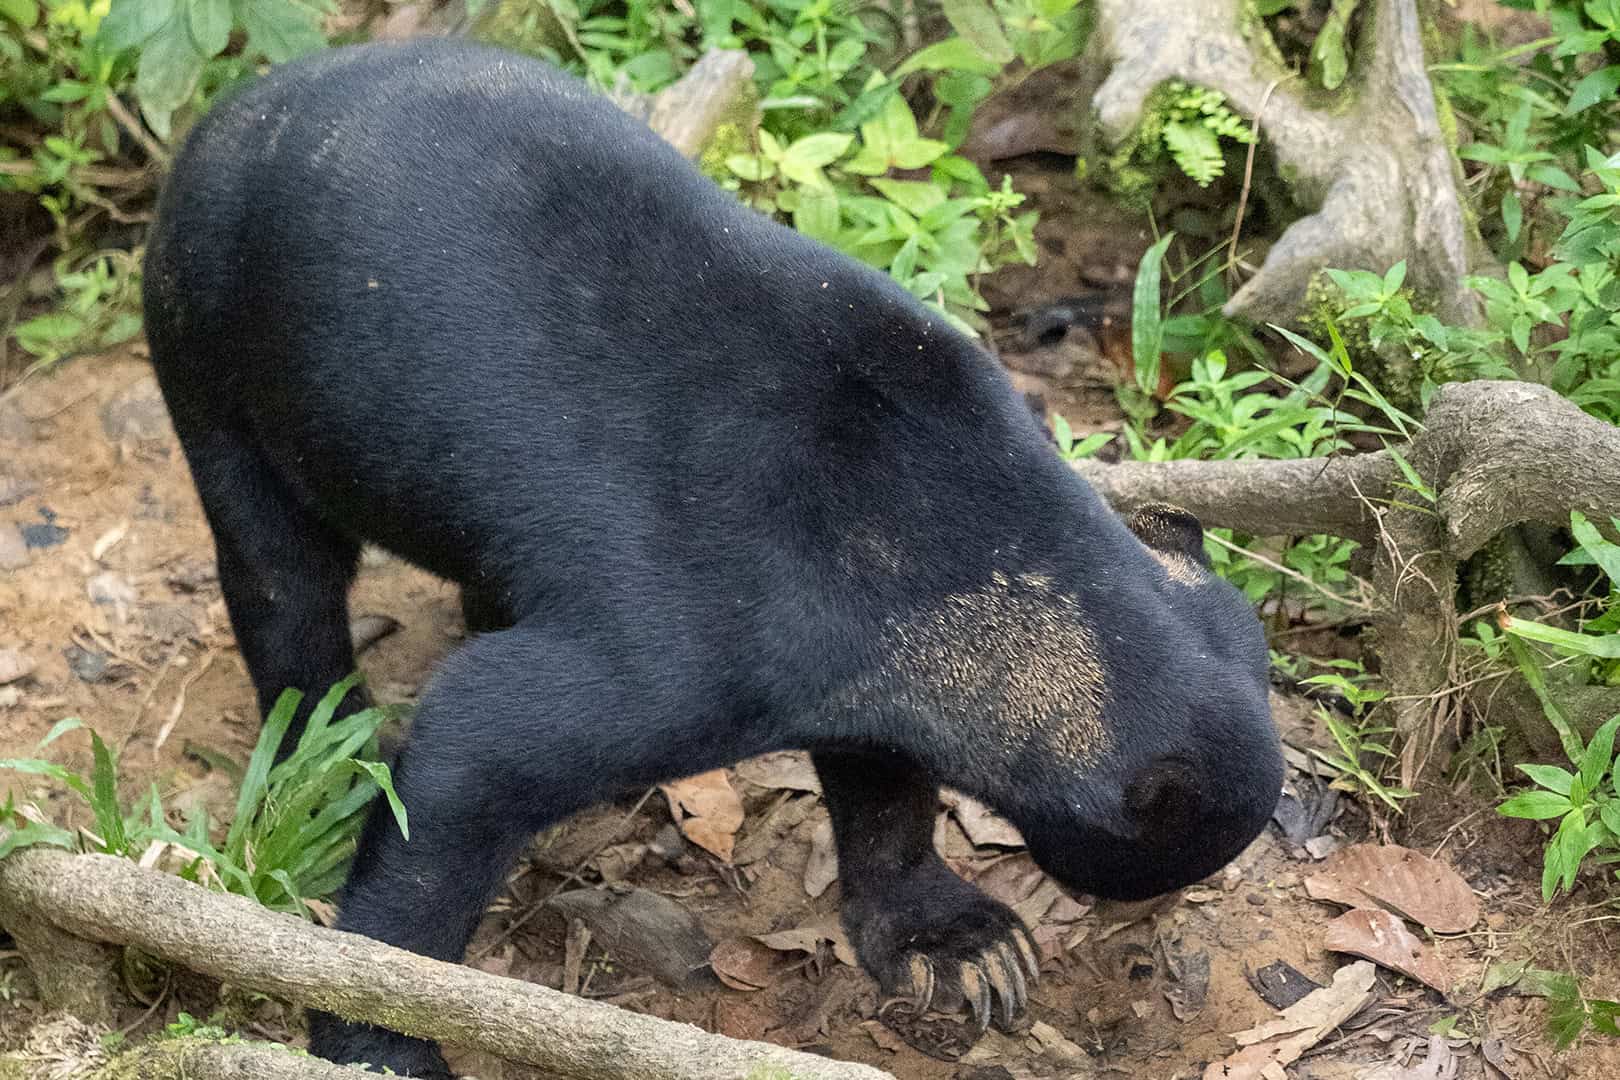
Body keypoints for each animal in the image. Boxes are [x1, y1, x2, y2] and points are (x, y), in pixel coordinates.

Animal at [142, 38, 1285, 1078]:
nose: (1149, 934)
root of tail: (233, 109)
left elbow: (883, 786)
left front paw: (964, 947)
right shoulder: (700, 651)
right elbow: (473, 755)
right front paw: (379, 1041)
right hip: (206, 348)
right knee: (283, 577)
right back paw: (322, 753)